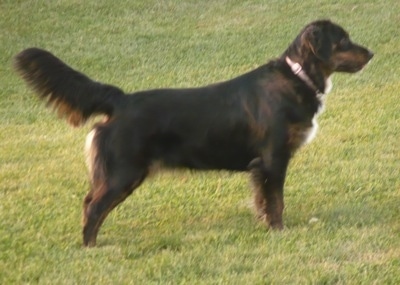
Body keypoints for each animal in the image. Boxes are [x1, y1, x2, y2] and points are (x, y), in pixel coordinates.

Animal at [14, 20, 374, 246]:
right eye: (342, 41)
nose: (371, 54)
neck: (297, 78)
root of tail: (120, 100)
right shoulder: (273, 158)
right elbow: (276, 201)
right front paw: (279, 231)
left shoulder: (262, 166)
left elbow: (263, 200)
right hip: (123, 173)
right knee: (93, 207)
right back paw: (92, 249)